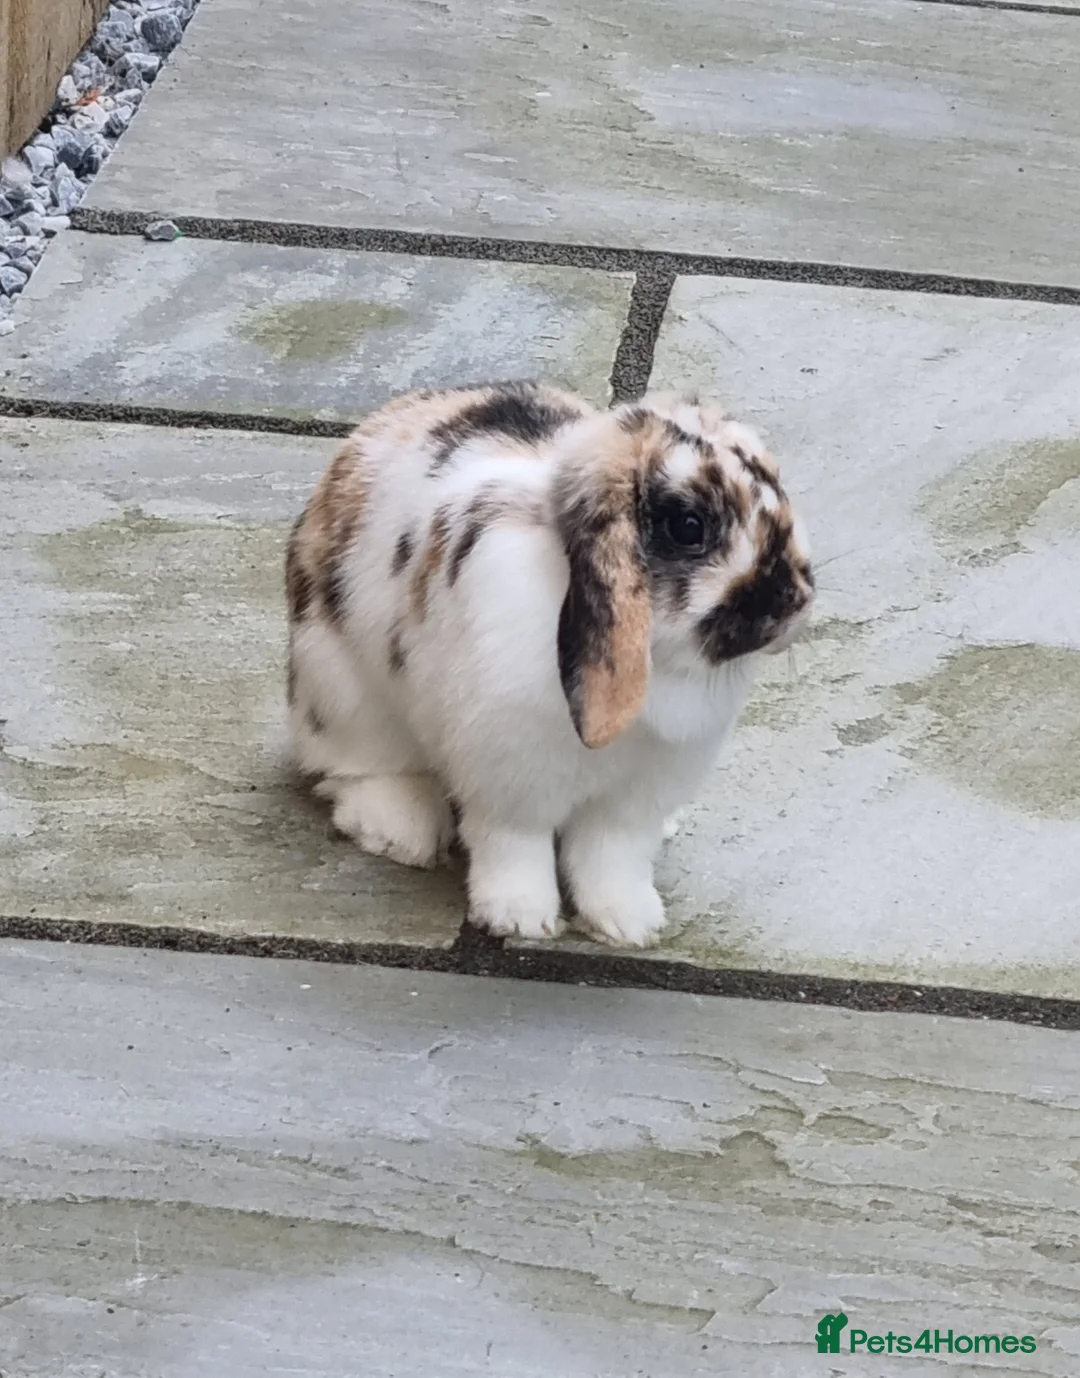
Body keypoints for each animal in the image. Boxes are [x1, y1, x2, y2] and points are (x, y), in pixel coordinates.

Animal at [285, 380, 813, 948]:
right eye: (689, 526)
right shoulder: (512, 782)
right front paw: (521, 918)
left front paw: (629, 924)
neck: (660, 661)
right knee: (350, 768)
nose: (795, 600)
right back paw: (402, 831)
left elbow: (612, 857)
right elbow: (515, 848)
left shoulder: (636, 798)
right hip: (342, 695)